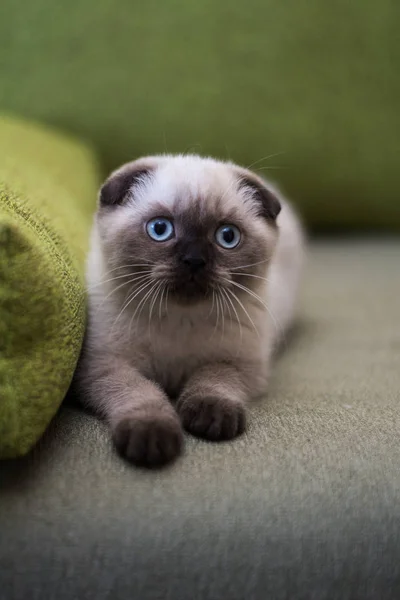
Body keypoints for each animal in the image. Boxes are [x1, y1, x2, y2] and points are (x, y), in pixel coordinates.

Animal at [76, 152, 304, 466]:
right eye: (160, 229)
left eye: (227, 236)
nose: (194, 260)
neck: (180, 319)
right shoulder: (105, 365)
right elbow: (140, 392)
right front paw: (152, 440)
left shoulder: (239, 364)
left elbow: (212, 379)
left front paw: (211, 418)